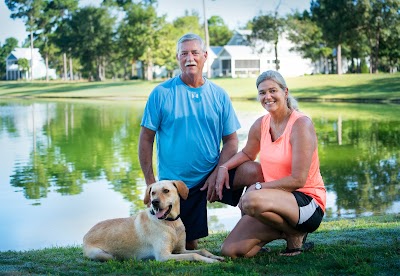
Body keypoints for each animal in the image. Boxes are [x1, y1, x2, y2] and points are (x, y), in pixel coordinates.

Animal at [82, 181, 223, 264]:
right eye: (152, 192)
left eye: (166, 190)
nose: (154, 202)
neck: (170, 223)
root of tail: (85, 234)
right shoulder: (164, 256)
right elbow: (194, 255)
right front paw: (211, 261)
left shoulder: (180, 250)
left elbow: (202, 250)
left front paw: (215, 257)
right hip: (102, 255)